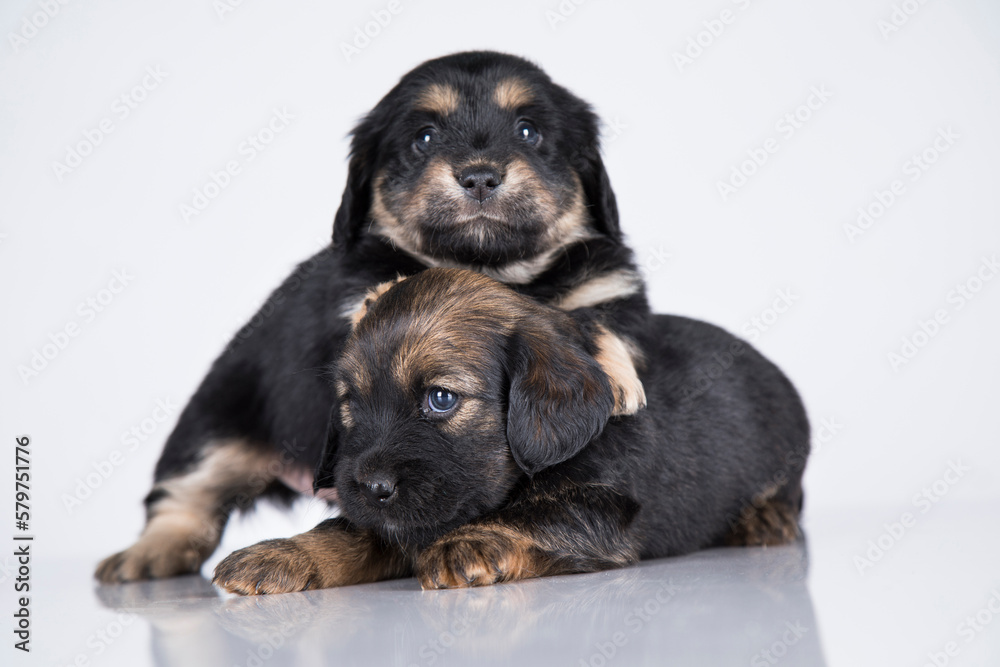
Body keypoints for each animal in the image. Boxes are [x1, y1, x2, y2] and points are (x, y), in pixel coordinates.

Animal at [95, 52, 648, 584]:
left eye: (528, 131)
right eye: (424, 138)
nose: (479, 176)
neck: (491, 266)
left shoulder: (607, 291)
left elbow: (583, 320)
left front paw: (619, 378)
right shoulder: (356, 305)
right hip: (214, 425)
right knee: (183, 496)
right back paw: (146, 555)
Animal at [213, 268, 812, 592]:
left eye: (440, 399)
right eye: (349, 405)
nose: (370, 488)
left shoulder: (602, 505)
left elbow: (536, 512)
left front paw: (472, 541)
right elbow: (348, 531)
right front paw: (281, 554)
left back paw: (764, 520)